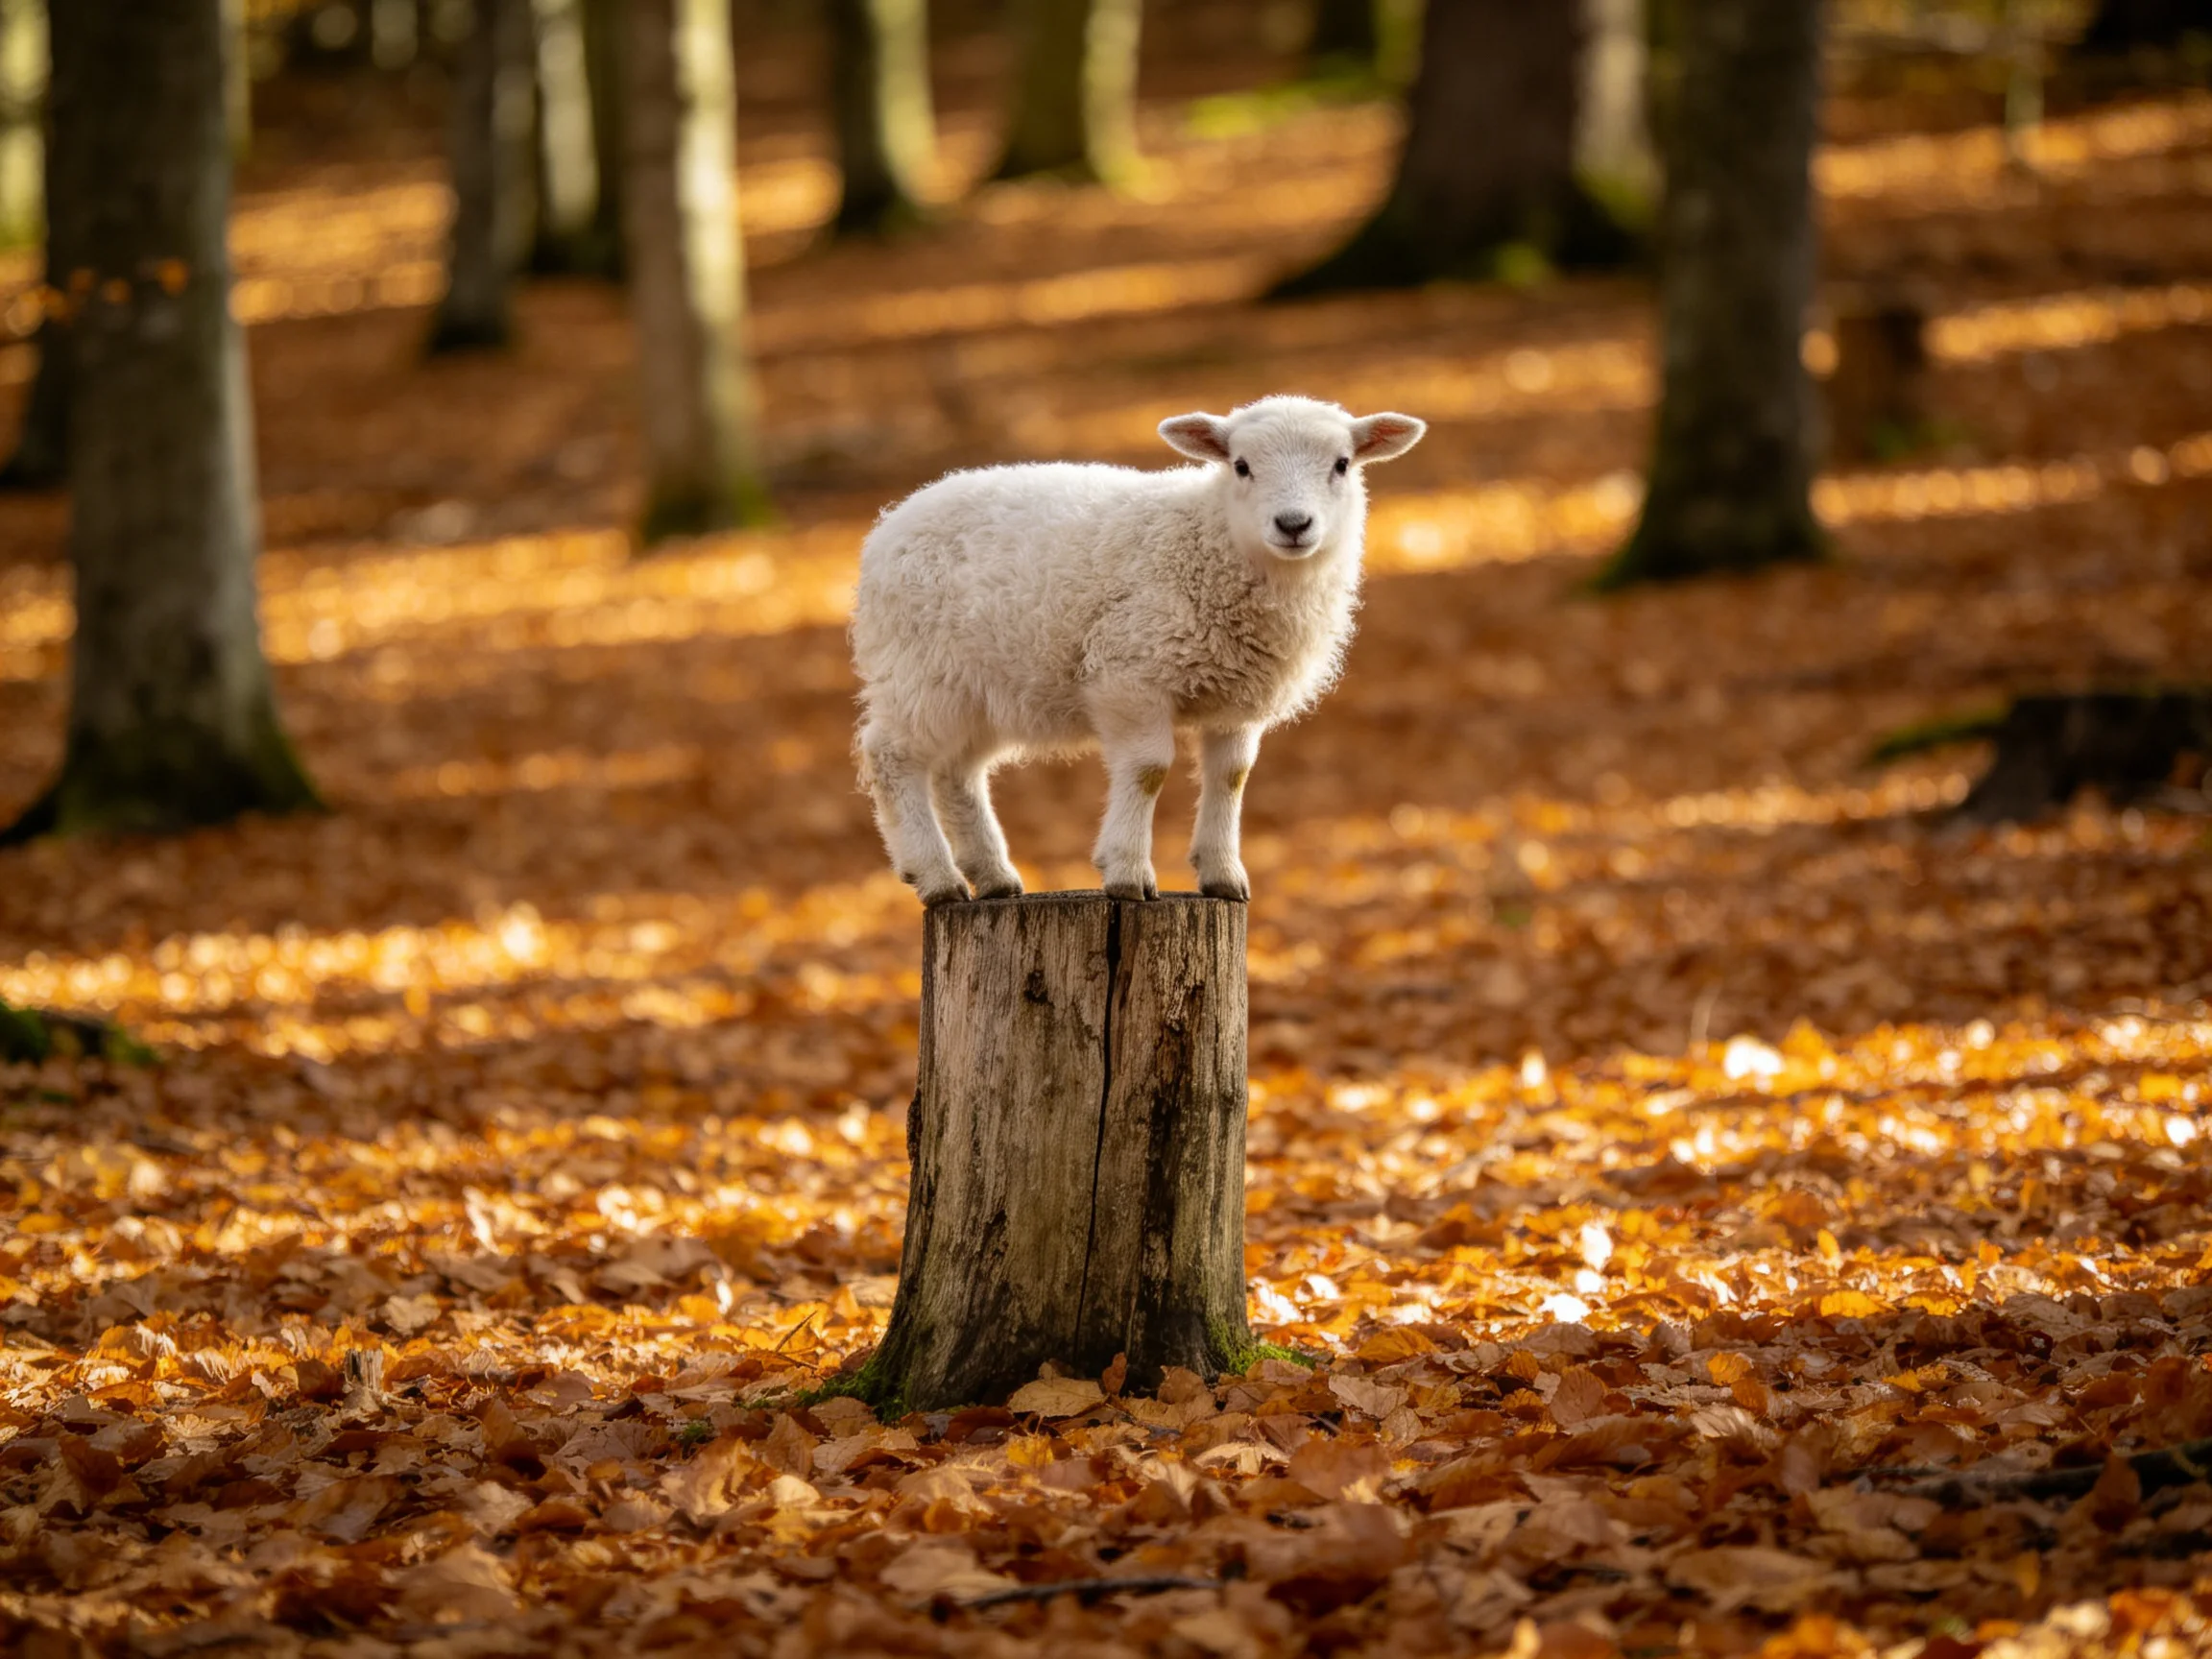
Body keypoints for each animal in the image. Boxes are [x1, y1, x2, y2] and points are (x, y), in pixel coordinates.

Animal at [850, 395, 1426, 905]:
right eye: (1241, 466)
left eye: (1342, 464)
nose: (1293, 524)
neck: (1209, 541)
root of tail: (893, 521)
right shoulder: (1132, 674)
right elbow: (1149, 769)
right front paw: (1127, 872)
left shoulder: (1238, 698)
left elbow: (1232, 776)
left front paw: (1223, 875)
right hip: (921, 671)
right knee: (891, 756)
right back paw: (937, 878)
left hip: (984, 689)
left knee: (958, 773)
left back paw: (993, 877)